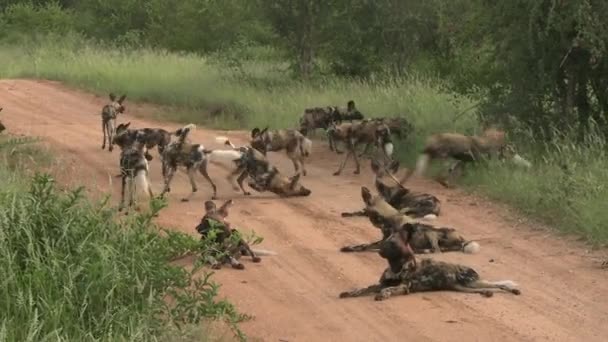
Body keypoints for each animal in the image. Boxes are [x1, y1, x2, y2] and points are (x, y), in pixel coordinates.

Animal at [340, 187, 478, 254]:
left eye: (369, 212)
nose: (376, 223)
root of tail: (462, 238)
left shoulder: (384, 242)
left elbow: (365, 247)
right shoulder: (382, 241)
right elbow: (363, 245)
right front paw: (349, 247)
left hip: (431, 232)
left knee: (437, 250)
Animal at [340, 227, 520, 302]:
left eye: (392, 244)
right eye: (387, 241)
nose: (380, 248)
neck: (396, 267)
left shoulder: (403, 287)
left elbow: (387, 289)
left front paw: (382, 295)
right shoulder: (379, 284)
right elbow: (363, 288)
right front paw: (349, 293)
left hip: (470, 282)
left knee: (499, 285)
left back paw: (513, 290)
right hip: (463, 287)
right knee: (487, 288)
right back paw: (488, 293)